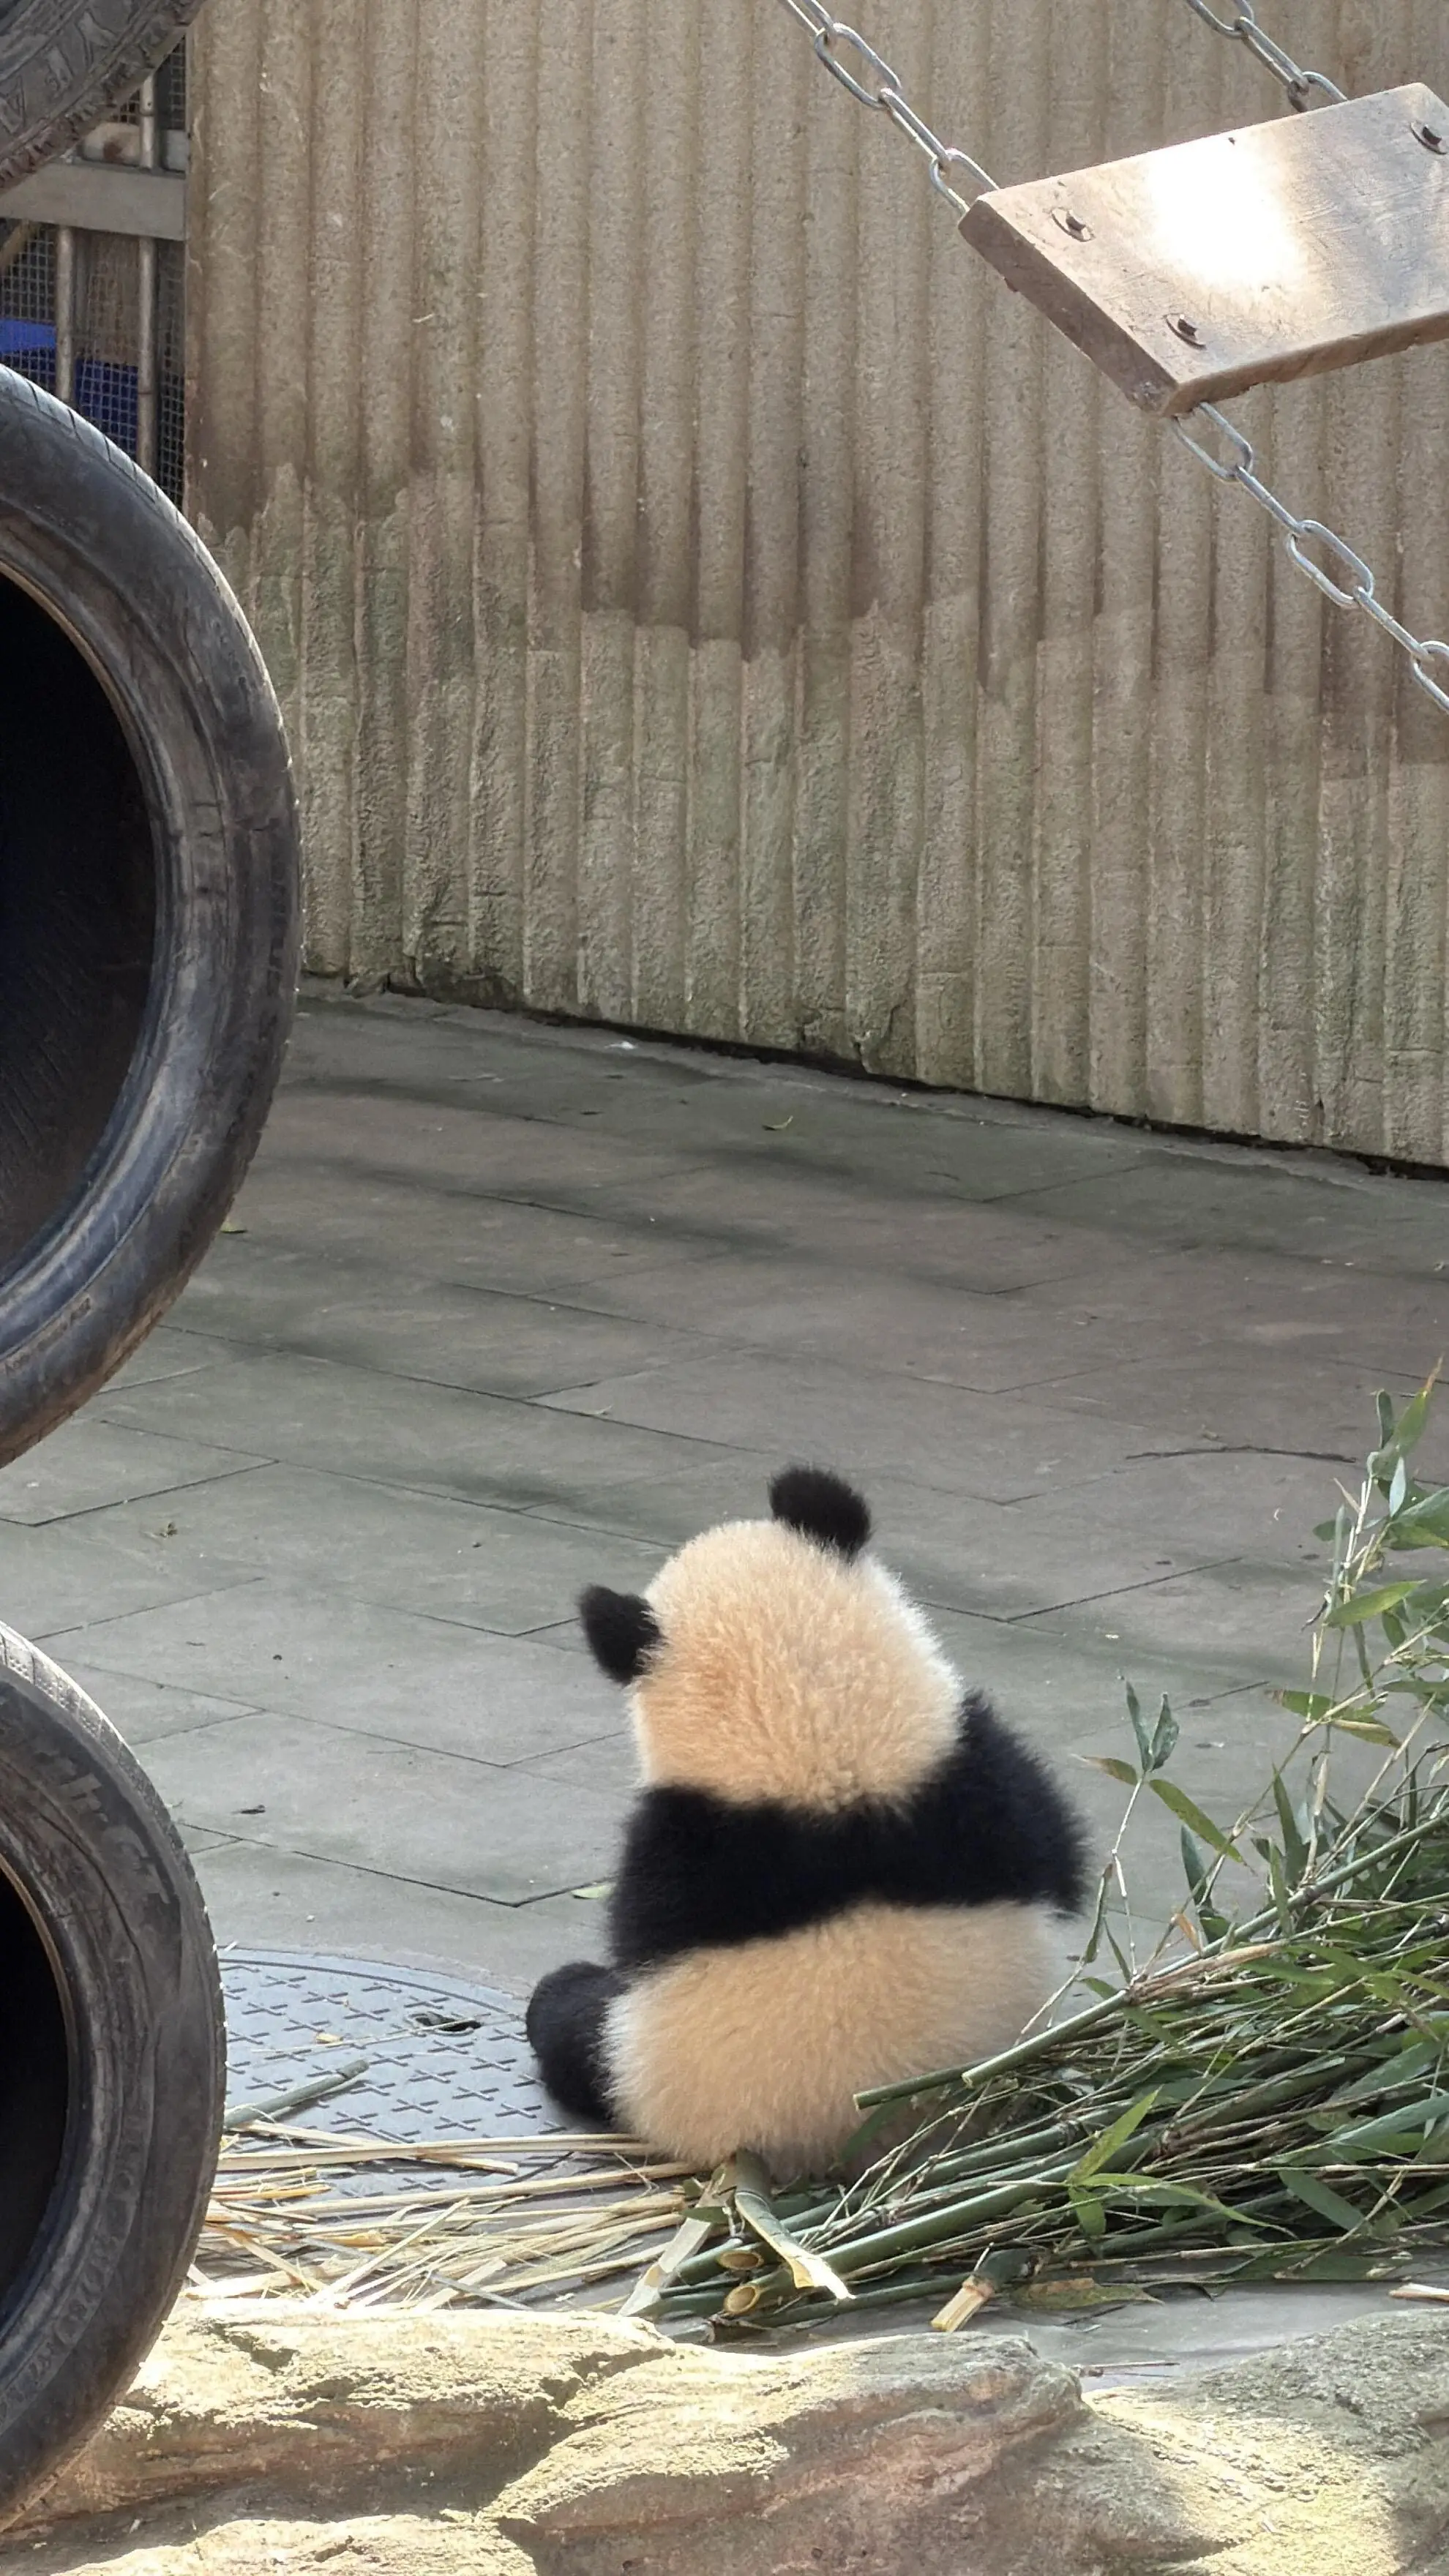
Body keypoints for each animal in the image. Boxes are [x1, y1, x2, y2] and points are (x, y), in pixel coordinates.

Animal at [526, 1465, 1086, 2175]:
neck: (822, 1743)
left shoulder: (681, 1852)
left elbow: (640, 1935)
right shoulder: (978, 1766)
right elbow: (1061, 1854)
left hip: (642, 2070)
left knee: (573, 2027)